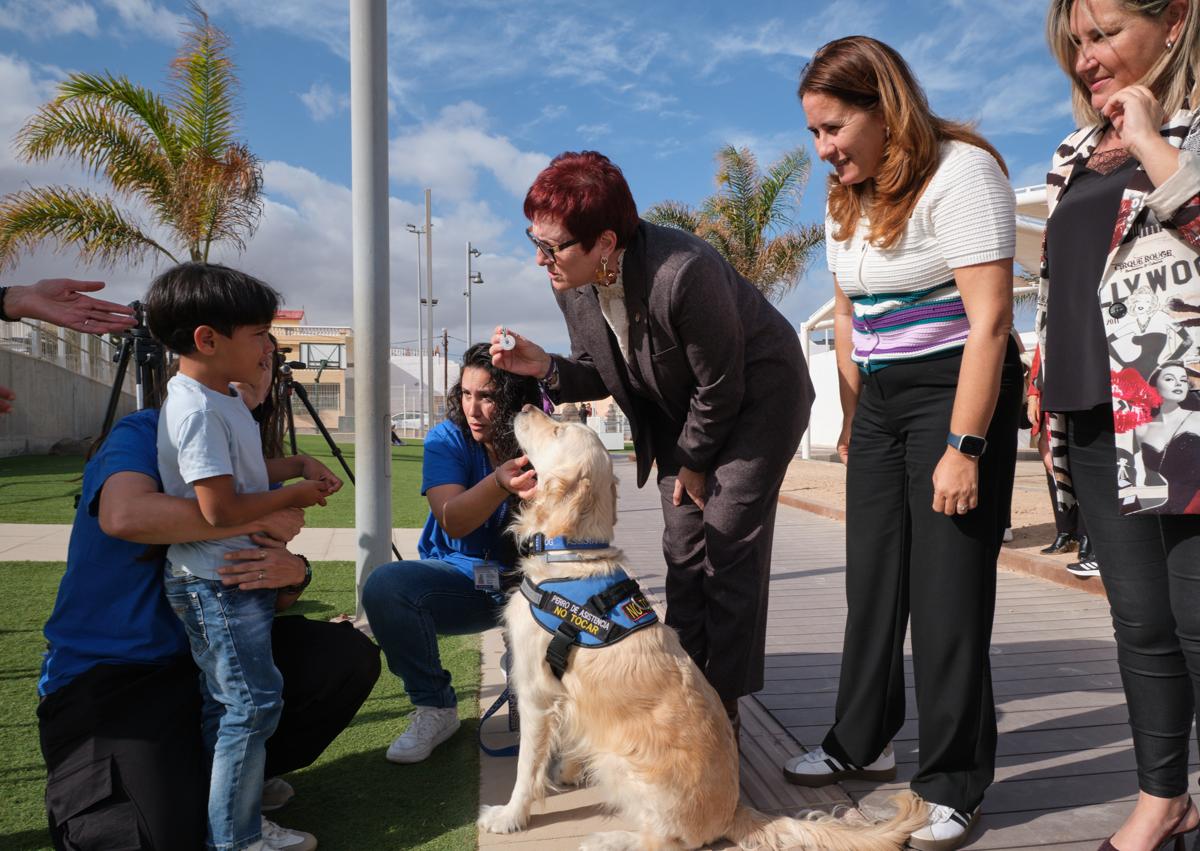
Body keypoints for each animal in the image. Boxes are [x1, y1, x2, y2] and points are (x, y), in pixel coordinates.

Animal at [477, 405, 926, 849]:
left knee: (664, 840)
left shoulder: (534, 692)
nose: (525, 406)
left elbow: (526, 768)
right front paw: (567, 772)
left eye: (557, 431)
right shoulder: (568, 697)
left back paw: (608, 838)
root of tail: (734, 810)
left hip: (621, 761)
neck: (570, 556)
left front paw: (510, 816)